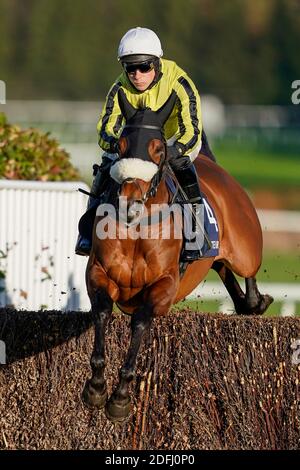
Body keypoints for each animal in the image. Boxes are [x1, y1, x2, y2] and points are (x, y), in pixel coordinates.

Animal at [81, 90, 272, 420]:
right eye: (120, 146)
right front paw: (96, 387)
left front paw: (120, 396)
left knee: (246, 271)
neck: (138, 228)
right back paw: (246, 303)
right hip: (217, 257)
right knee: (223, 269)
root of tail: (209, 160)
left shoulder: (164, 287)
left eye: (158, 149)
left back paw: (255, 301)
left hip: (247, 248)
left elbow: (140, 322)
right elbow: (102, 312)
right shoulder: (98, 274)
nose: (129, 203)